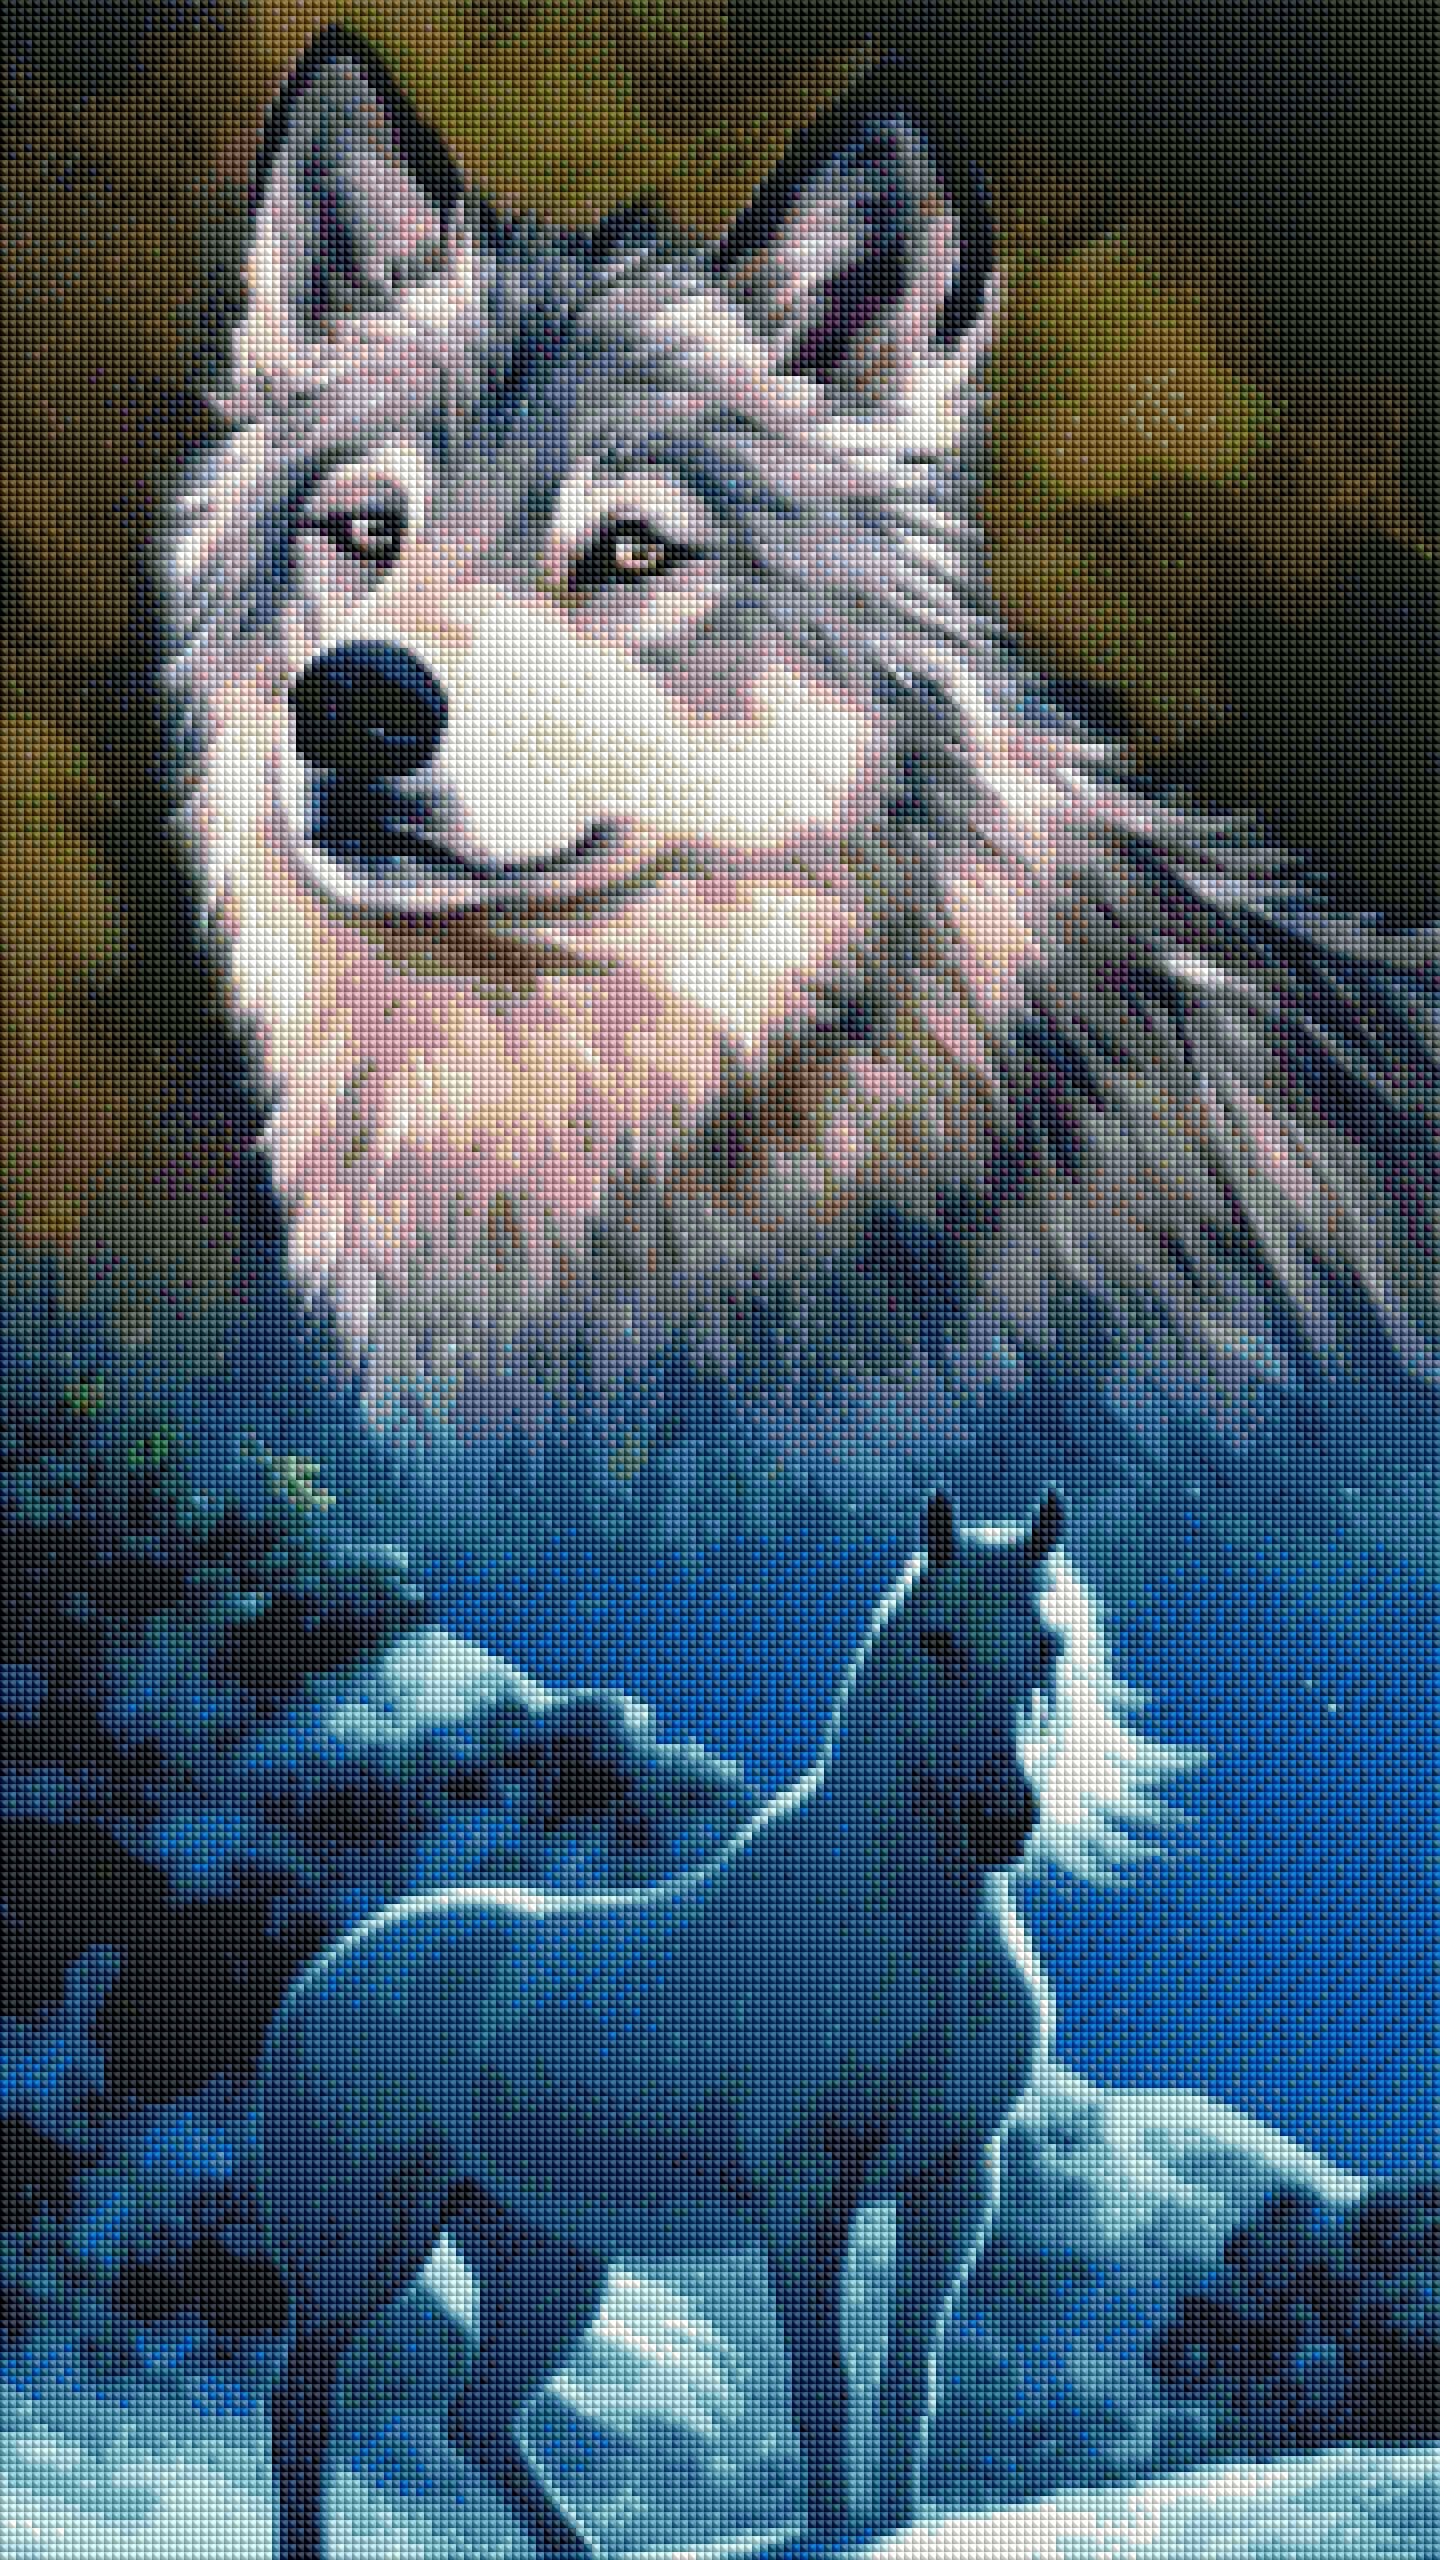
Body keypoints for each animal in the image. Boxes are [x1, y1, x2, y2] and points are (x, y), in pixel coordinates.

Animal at [255, 1488, 1200, 2555]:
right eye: (936, 1637)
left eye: (1046, 1645)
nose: (1001, 1817)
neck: (893, 1930)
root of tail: (319, 1979)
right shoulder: (805, 2191)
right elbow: (821, 2386)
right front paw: (833, 2531)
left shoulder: (954, 2183)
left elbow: (908, 2379)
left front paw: (895, 2523)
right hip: (360, 2250)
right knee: (303, 2412)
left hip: (546, 2259)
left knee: (475, 2418)